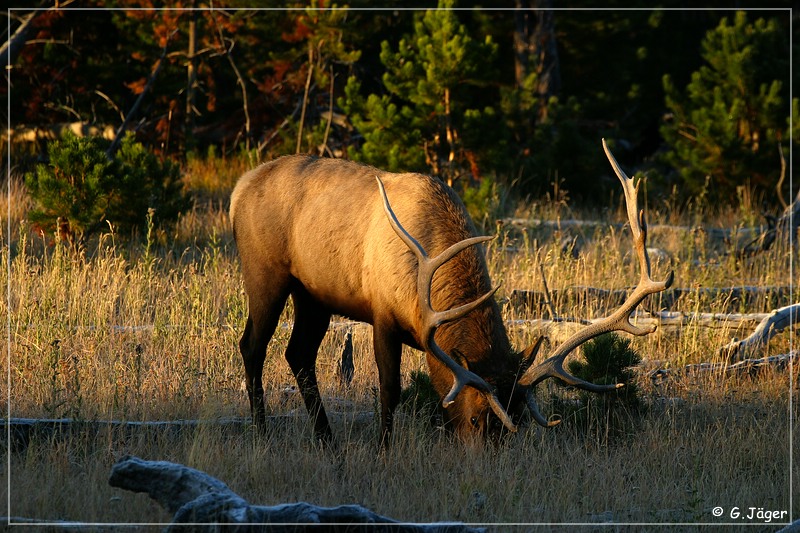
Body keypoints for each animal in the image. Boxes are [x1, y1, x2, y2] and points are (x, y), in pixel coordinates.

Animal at [228, 138, 672, 444]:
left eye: (516, 422)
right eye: (476, 417)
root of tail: (239, 188)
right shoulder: (383, 315)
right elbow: (390, 391)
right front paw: (383, 451)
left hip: (314, 295)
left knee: (298, 353)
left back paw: (327, 442)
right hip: (265, 273)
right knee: (252, 345)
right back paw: (263, 434)